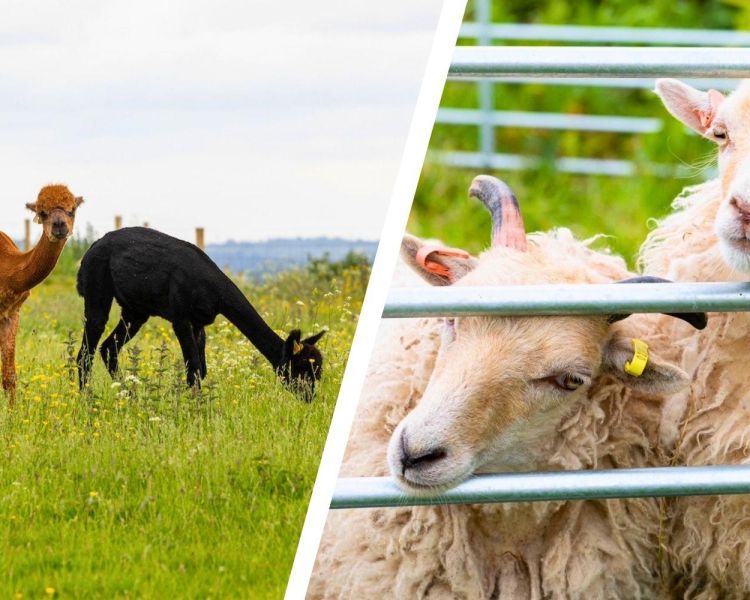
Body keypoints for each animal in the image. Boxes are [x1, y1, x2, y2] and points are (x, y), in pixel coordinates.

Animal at [76, 227, 325, 400]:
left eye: (318, 371)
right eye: (301, 369)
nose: (309, 397)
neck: (214, 290)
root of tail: (91, 247)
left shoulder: (199, 323)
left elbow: (201, 370)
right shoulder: (181, 318)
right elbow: (194, 367)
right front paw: (195, 410)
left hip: (135, 310)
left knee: (109, 348)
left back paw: (128, 396)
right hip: (97, 286)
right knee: (86, 351)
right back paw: (86, 399)